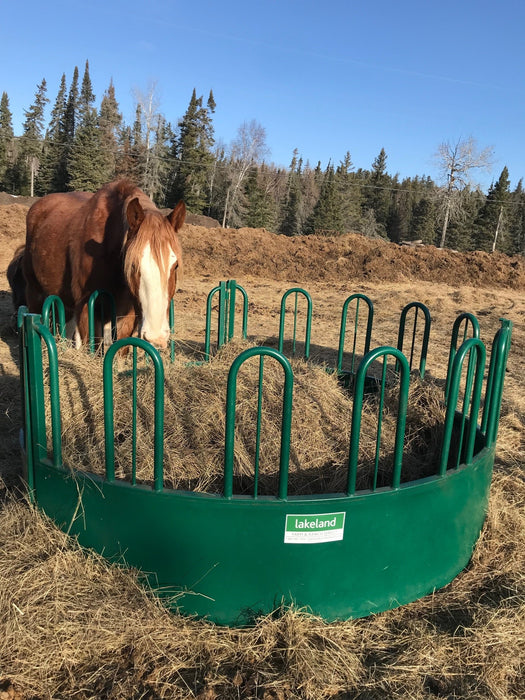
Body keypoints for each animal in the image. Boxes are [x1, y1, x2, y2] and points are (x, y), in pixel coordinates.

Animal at [22, 180, 185, 348]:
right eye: (133, 265)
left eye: (176, 265)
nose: (156, 337)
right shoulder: (87, 309)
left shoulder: (126, 315)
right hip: (34, 292)